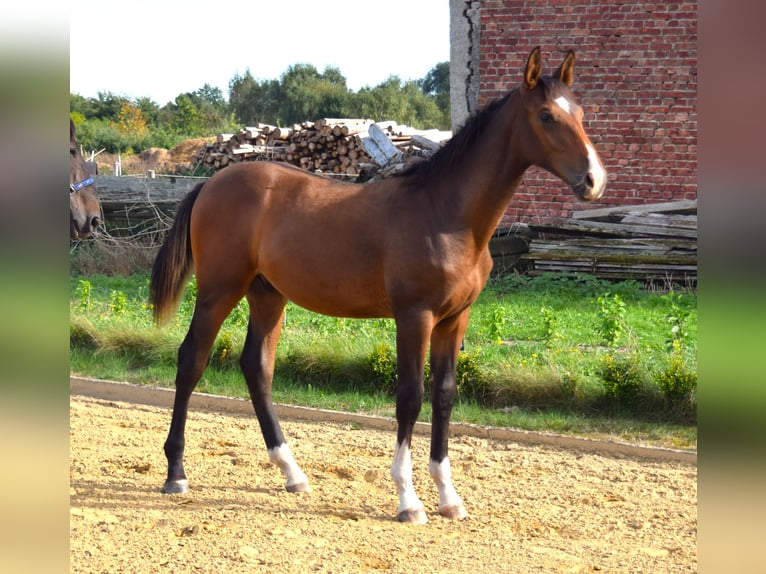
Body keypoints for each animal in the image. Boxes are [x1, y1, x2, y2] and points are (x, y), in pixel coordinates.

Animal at [148, 48, 608, 528]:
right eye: (546, 115)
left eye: (579, 113)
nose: (594, 180)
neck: (446, 213)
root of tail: (210, 183)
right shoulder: (414, 317)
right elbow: (410, 397)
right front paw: (409, 500)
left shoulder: (454, 320)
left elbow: (444, 395)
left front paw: (449, 497)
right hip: (219, 291)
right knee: (191, 360)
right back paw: (176, 473)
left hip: (267, 294)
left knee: (257, 367)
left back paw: (292, 473)